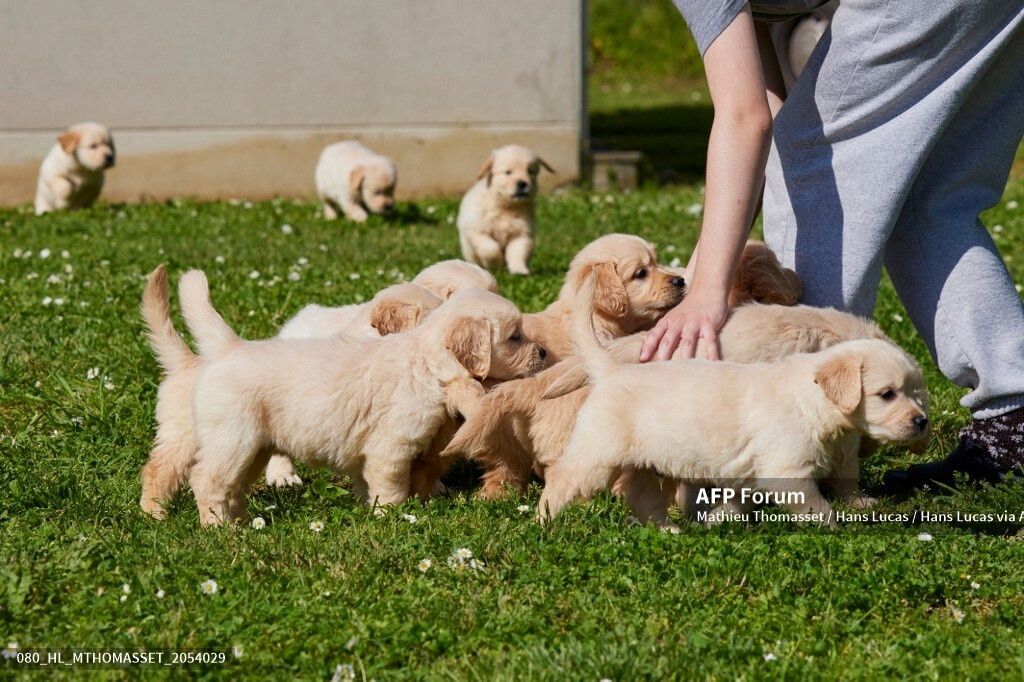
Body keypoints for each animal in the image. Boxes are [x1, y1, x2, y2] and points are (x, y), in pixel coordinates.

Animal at [153, 268, 544, 522]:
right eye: (514, 336)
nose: (543, 353)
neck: (427, 359)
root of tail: (230, 347)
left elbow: (370, 481)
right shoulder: (391, 446)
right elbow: (392, 486)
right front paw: (393, 517)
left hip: (253, 448)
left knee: (232, 485)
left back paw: (238, 521)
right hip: (232, 439)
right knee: (204, 479)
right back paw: (216, 527)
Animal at [456, 143, 552, 274]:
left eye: (530, 171)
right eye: (508, 172)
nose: (522, 183)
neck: (506, 207)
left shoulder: (521, 235)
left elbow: (517, 253)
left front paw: (519, 270)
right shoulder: (476, 231)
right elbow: (490, 248)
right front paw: (496, 264)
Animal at [536, 270, 929, 524]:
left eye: (915, 393)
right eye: (887, 394)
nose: (922, 422)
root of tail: (612, 370)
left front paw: (719, 518)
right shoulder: (790, 467)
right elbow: (824, 499)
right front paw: (844, 519)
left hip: (643, 460)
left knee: (643, 496)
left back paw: (670, 528)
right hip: (597, 453)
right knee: (561, 477)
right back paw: (544, 521)